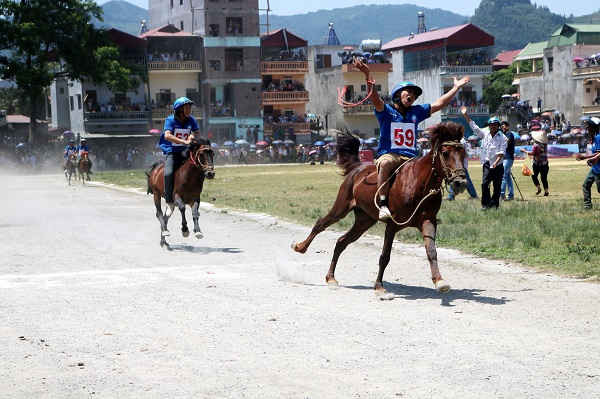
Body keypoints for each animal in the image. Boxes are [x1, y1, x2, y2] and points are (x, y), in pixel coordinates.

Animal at [292, 123, 468, 296]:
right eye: (445, 153)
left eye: (463, 152)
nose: (460, 182)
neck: (419, 184)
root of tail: (358, 168)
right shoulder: (392, 225)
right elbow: (385, 256)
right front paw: (378, 286)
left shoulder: (428, 221)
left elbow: (431, 251)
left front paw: (440, 281)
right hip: (341, 208)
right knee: (320, 224)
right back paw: (300, 247)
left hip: (364, 220)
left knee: (342, 241)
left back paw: (331, 278)